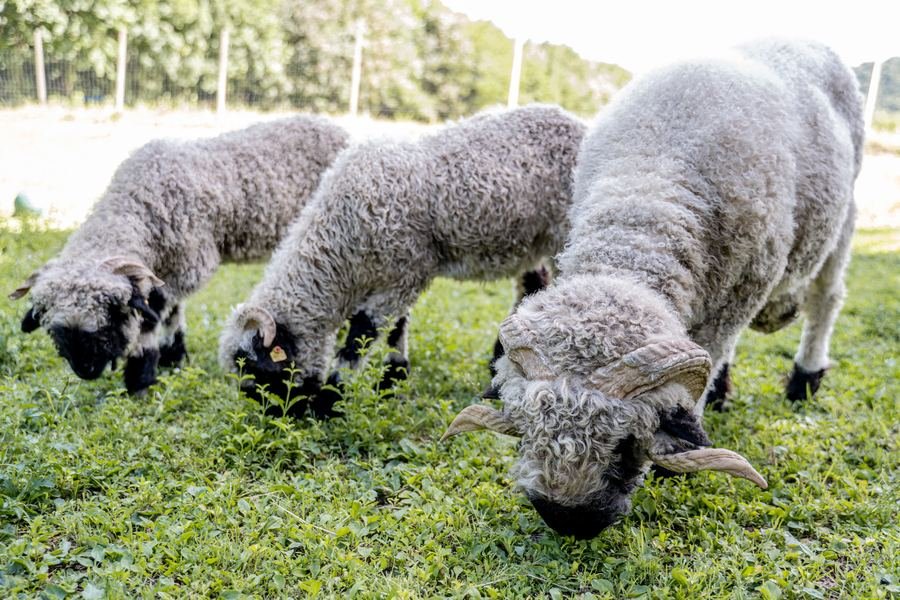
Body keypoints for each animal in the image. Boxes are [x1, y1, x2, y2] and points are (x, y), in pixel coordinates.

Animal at [10, 115, 350, 394]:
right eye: (57, 332)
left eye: (110, 321)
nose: (86, 371)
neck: (140, 201)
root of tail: (337, 128)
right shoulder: (164, 265)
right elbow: (171, 312)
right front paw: (172, 358)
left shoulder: (190, 261)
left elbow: (155, 314)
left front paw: (141, 377)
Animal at [218, 105, 586, 419]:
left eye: (263, 372)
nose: (281, 416)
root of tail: (573, 119)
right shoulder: (398, 272)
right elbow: (397, 325)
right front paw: (392, 378)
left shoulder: (406, 269)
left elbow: (361, 334)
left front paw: (331, 400)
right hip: (529, 240)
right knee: (533, 284)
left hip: (560, 232)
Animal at [442, 39, 864, 539]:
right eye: (526, 429)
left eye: (625, 443)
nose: (567, 519)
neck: (648, 187)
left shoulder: (741, 291)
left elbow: (716, 349)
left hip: (842, 218)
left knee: (826, 299)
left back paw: (804, 379)